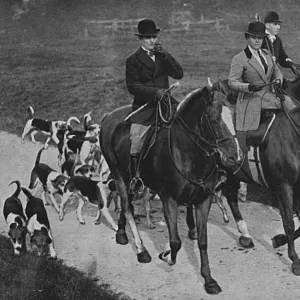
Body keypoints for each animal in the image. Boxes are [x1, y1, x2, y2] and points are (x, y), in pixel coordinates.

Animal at [99, 85, 243, 294]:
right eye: (214, 120)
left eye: (234, 117)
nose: (235, 158)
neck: (187, 152)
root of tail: (108, 115)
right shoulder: (169, 199)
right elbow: (175, 242)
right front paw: (167, 256)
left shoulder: (204, 200)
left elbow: (203, 241)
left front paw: (209, 280)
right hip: (118, 174)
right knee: (127, 207)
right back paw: (141, 250)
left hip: (130, 179)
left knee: (128, 207)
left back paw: (121, 233)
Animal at [188, 79, 300, 276]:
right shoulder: (284, 186)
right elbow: (288, 222)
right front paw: (294, 259)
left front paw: (279, 240)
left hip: (233, 171)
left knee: (231, 196)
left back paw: (244, 234)